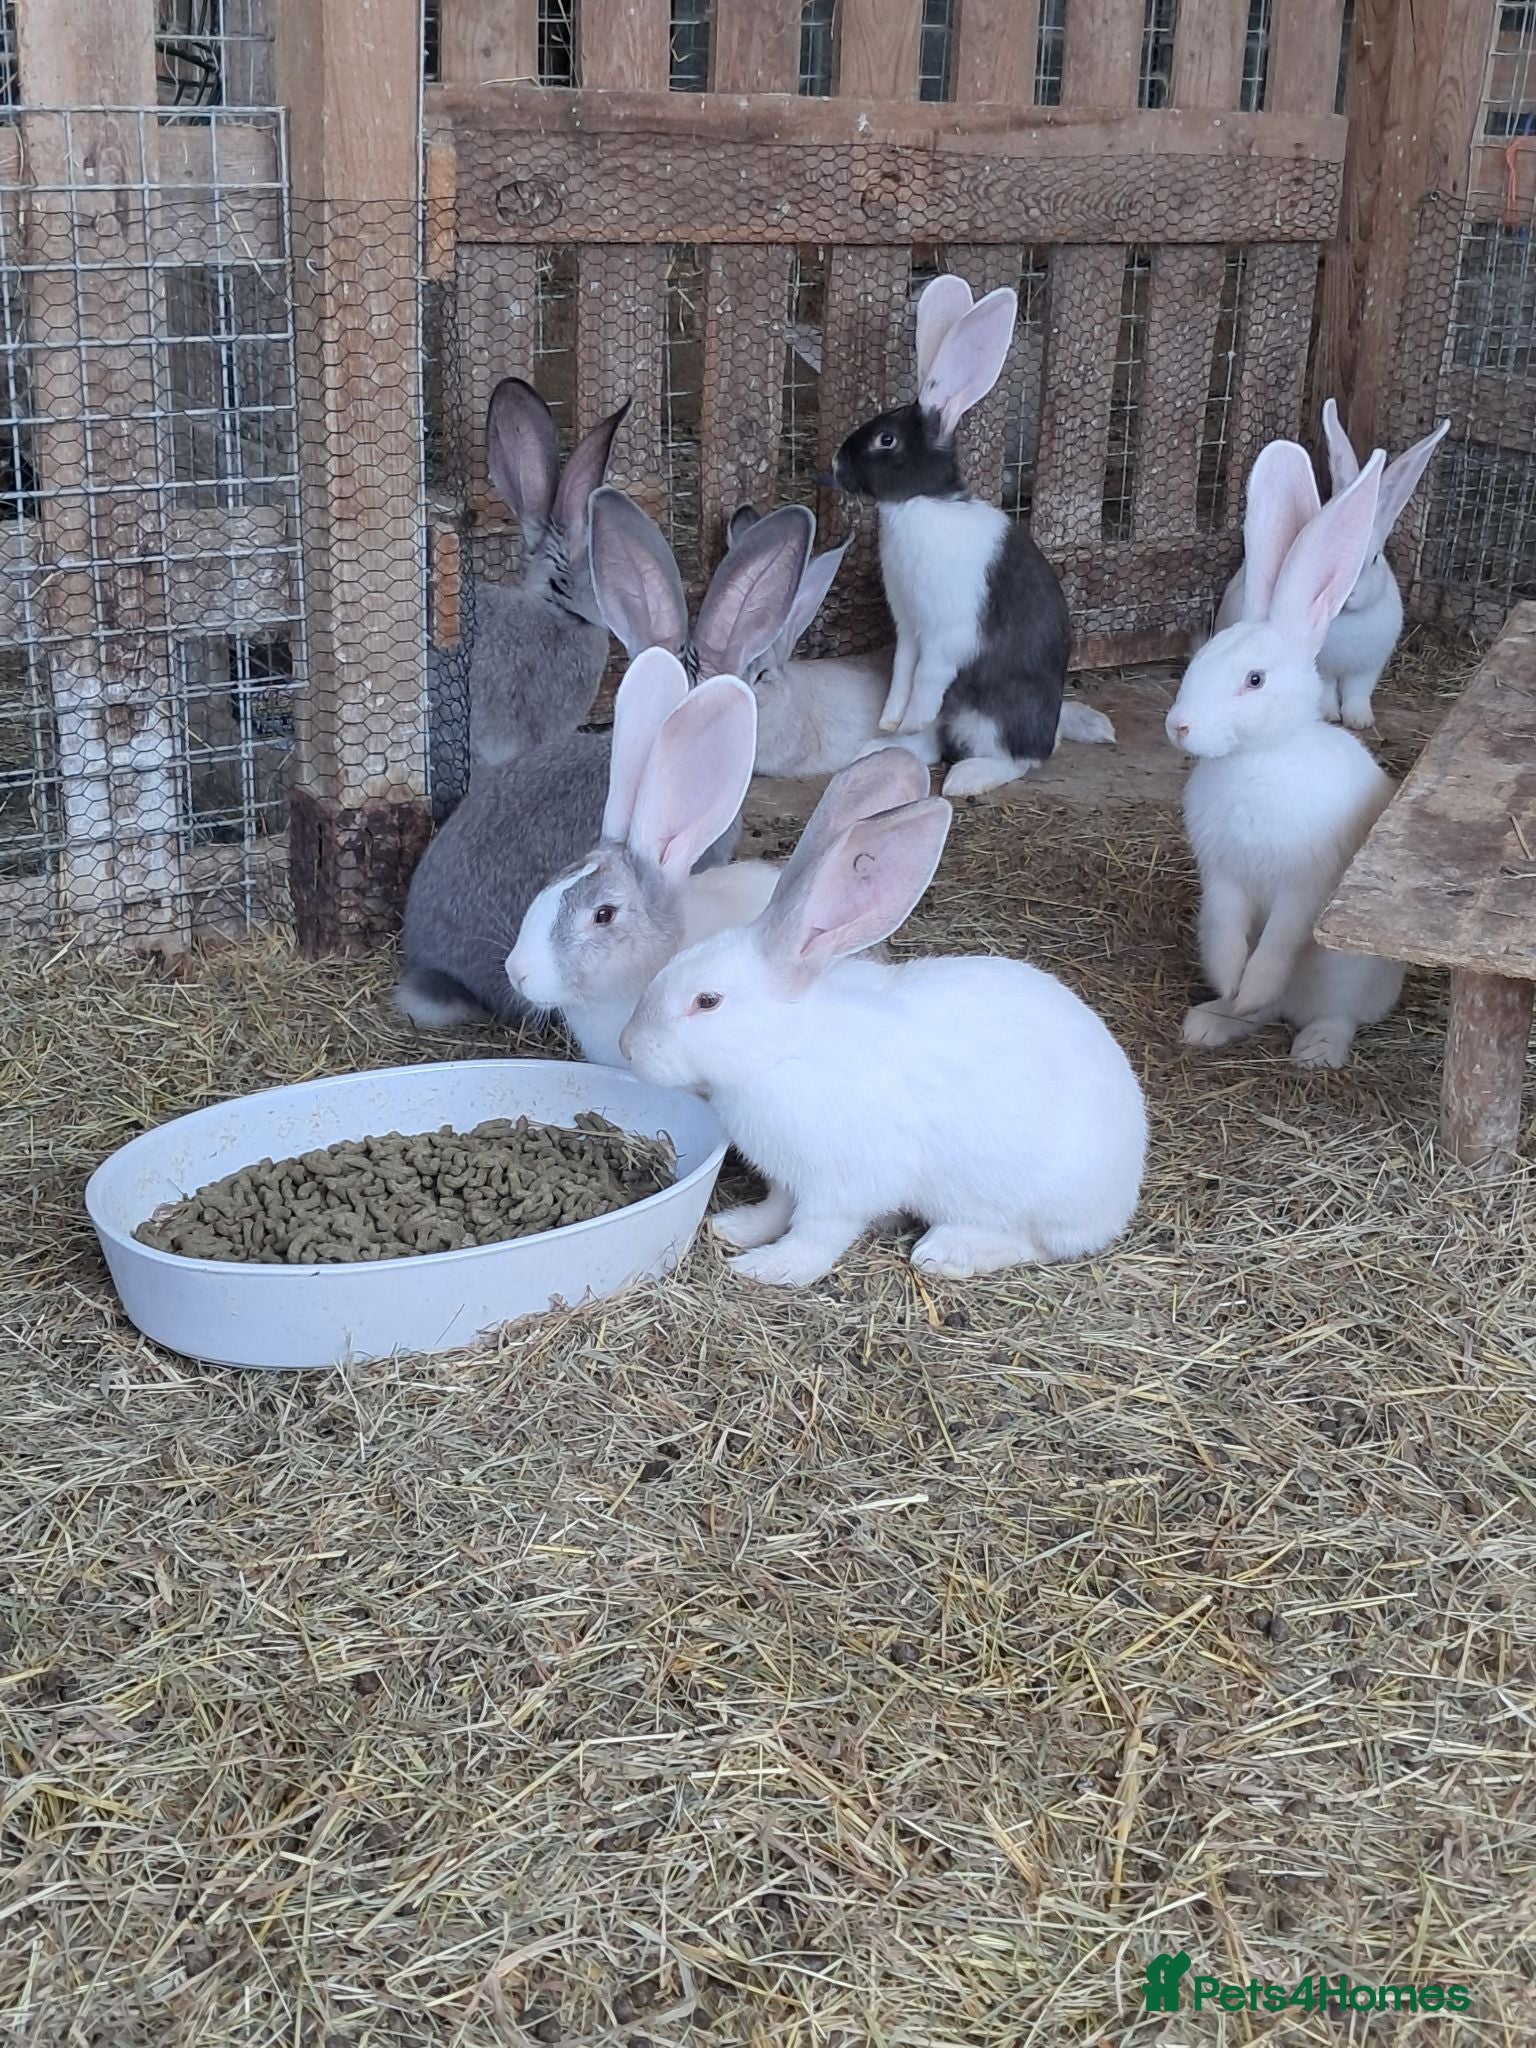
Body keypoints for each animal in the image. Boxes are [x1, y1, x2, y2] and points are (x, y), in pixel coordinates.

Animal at [618, 749, 1148, 1288]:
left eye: (707, 1001)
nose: (627, 1046)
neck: (786, 1050)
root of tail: (1128, 1180)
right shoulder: (790, 1177)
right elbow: (778, 1207)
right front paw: (737, 1227)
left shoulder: (841, 1187)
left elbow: (816, 1233)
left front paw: (768, 1267)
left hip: (1033, 1202)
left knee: (1035, 1243)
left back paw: (946, 1251)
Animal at [829, 273, 1073, 800]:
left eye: (886, 440)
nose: (835, 465)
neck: (923, 503)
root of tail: (1048, 734)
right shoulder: (909, 629)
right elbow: (903, 674)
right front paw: (892, 720)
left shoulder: (947, 635)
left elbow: (926, 679)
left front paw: (909, 717)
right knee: (934, 743)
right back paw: (881, 748)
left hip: (996, 717)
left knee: (1017, 760)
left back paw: (967, 778)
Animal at [1168, 439, 1406, 1071]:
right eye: (1200, 662)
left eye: (1254, 680)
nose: (1179, 727)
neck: (1259, 760)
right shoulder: (1222, 880)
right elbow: (1230, 939)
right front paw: (1232, 988)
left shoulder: (1306, 890)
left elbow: (1277, 945)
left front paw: (1249, 988)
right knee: (1264, 1012)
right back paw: (1214, 1020)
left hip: (1346, 970)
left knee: (1331, 1013)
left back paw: (1315, 1050)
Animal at [1213, 402, 1450, 730]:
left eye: (1375, 558)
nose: (1348, 594)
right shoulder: (1322, 669)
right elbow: (1325, 691)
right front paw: (1329, 715)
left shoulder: (1367, 669)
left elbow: (1357, 693)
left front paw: (1360, 720)